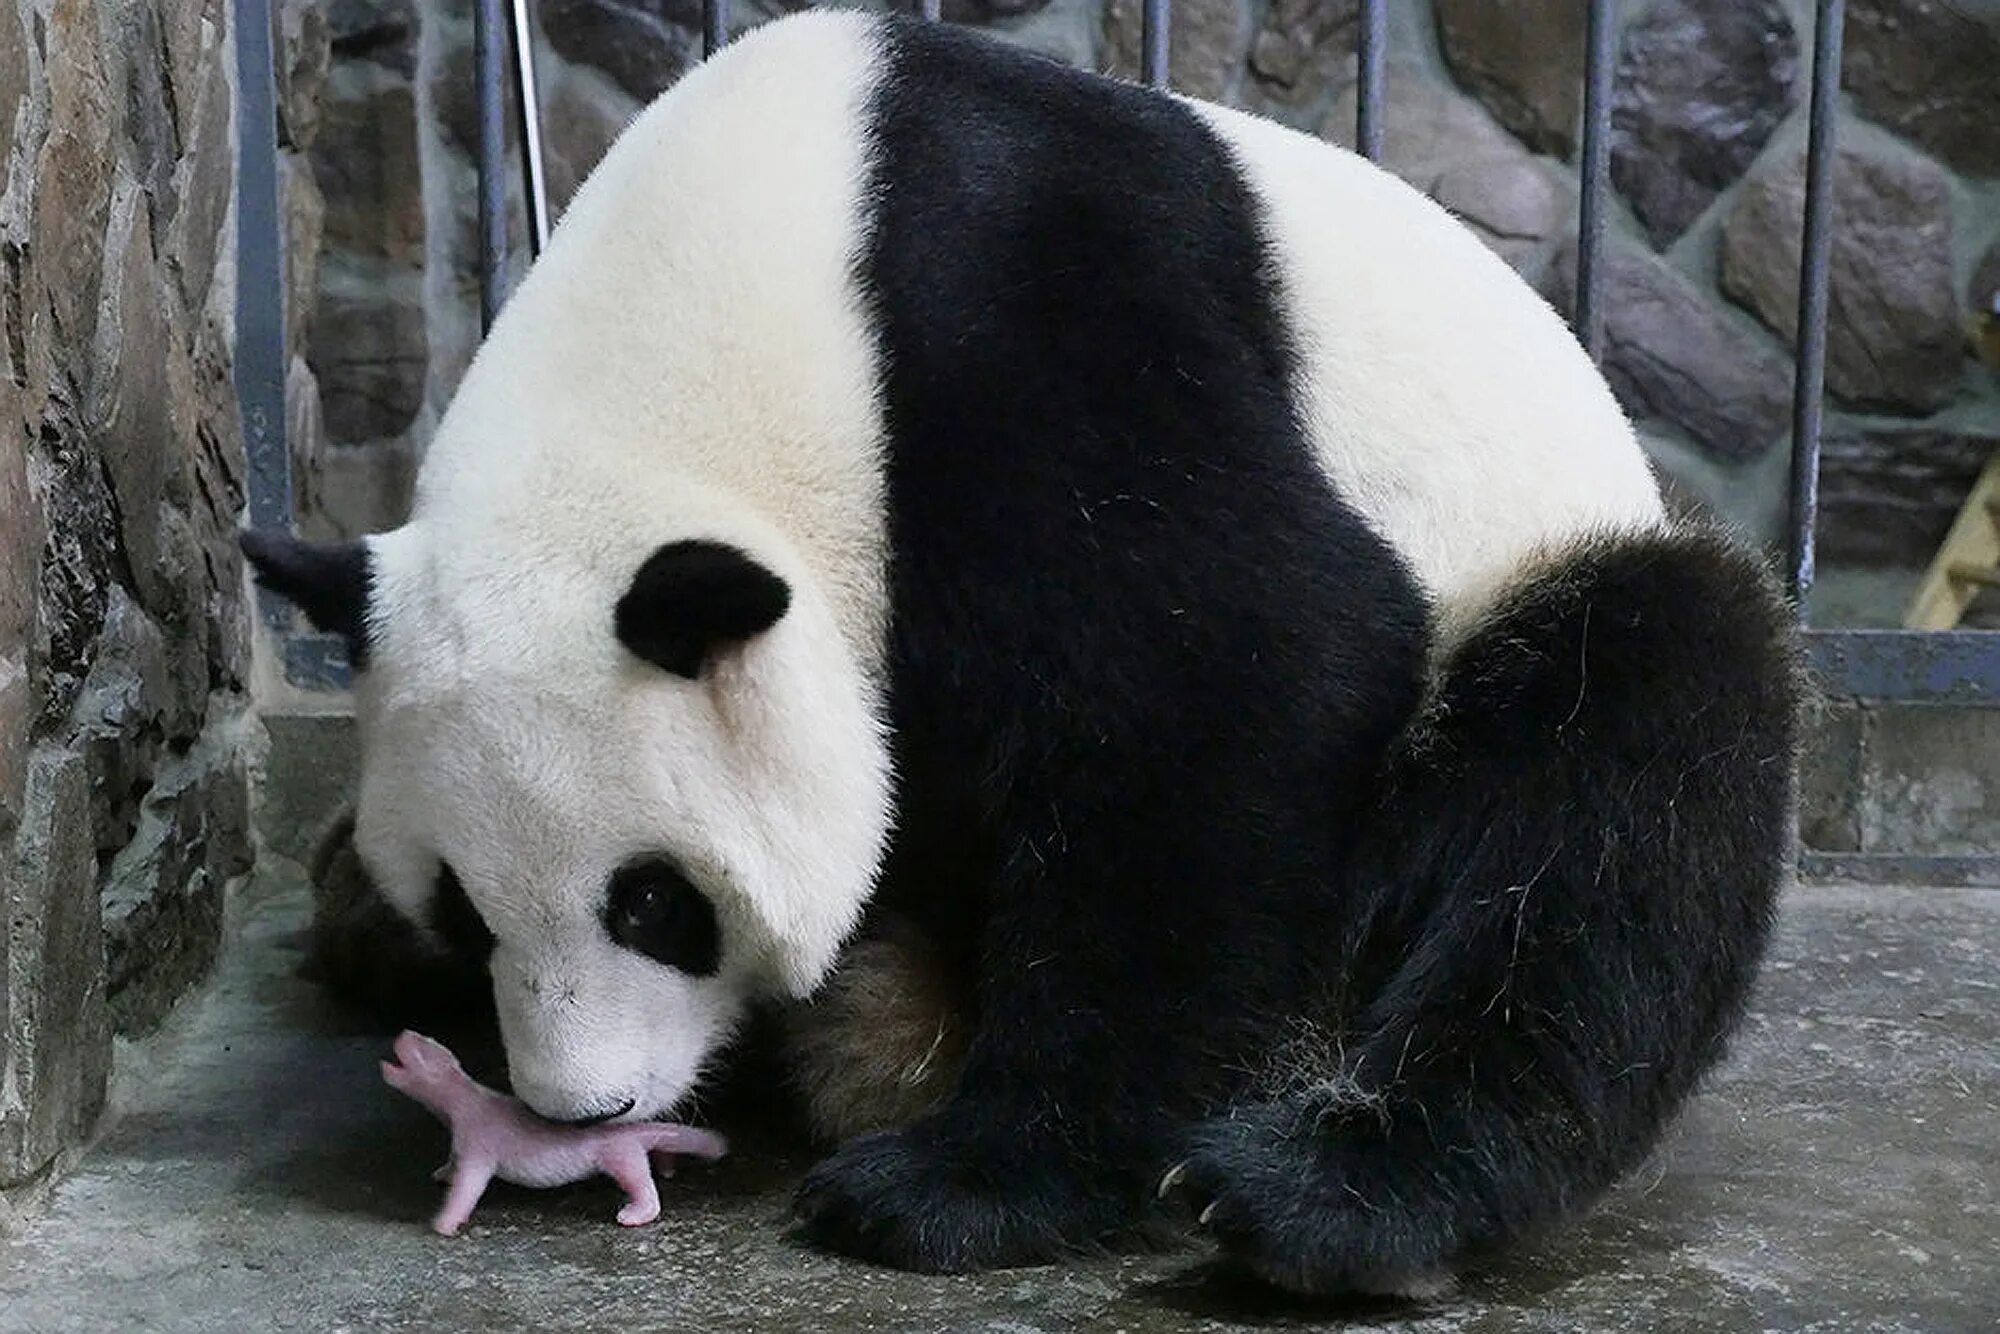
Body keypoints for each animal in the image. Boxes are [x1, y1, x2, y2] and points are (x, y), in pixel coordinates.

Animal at [246, 7, 1800, 1304]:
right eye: (466, 909)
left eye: (653, 903)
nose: (585, 1110)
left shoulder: (1022, 322)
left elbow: (1242, 677)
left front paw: (961, 1186)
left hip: (1536, 582)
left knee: (1624, 773)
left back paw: (1327, 1199)